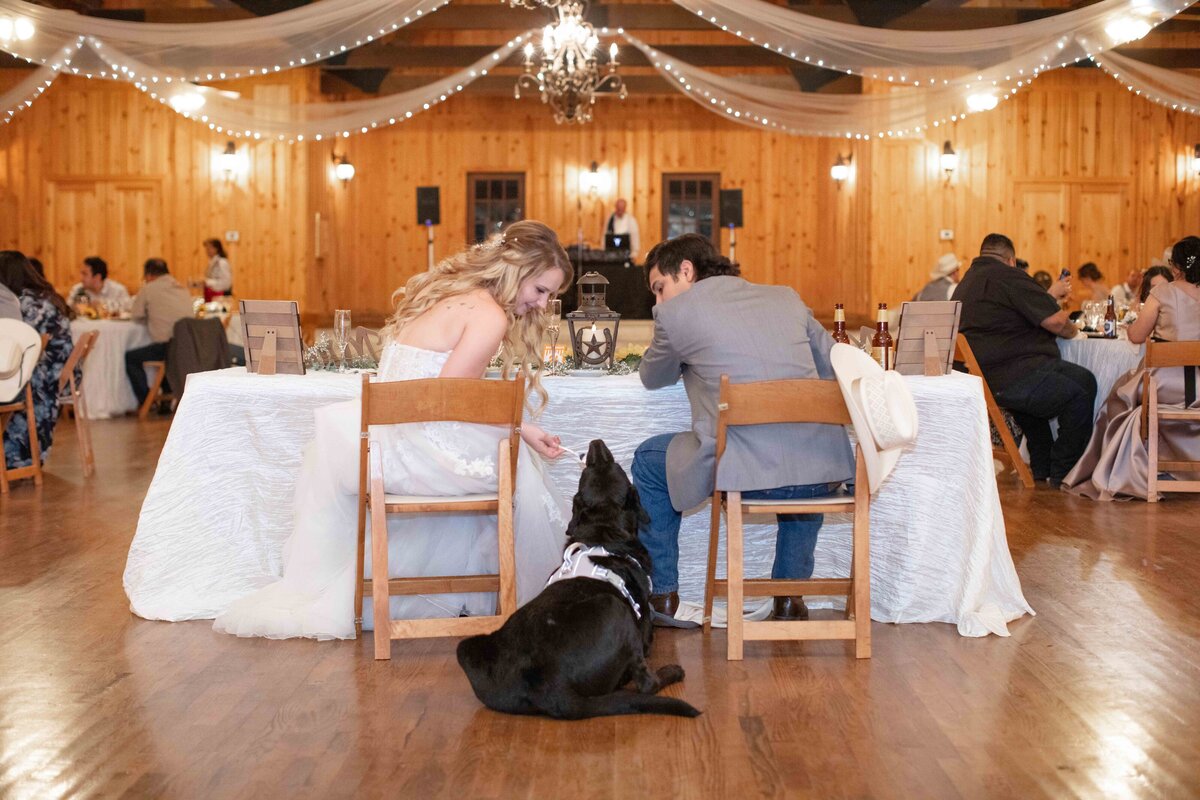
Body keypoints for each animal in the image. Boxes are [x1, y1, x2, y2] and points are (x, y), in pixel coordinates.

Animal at [458, 441, 700, 724]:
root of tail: (548, 687)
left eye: (593, 471)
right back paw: (672, 672)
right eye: (615, 466)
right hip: (615, 609)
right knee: (645, 683)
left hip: (468, 647)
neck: (603, 532)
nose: (595, 444)